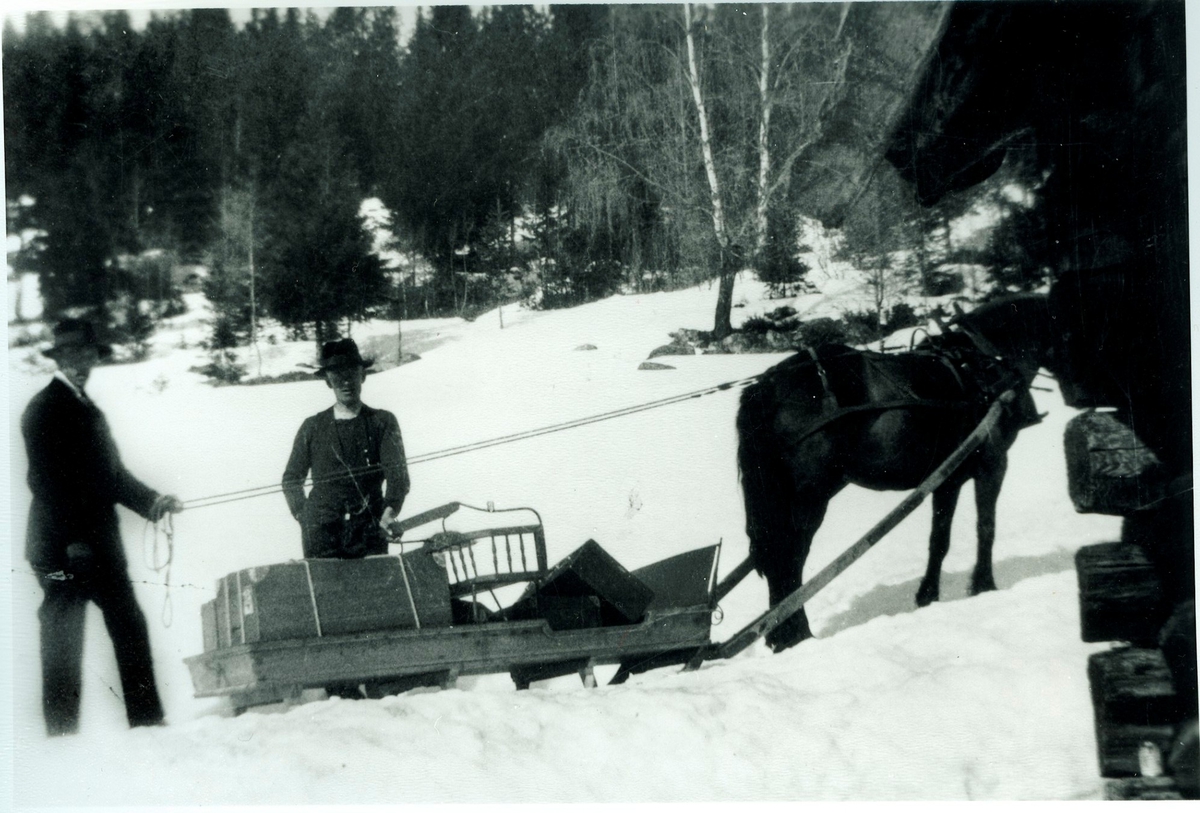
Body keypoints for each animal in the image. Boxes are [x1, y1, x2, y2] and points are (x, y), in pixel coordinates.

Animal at [739, 296, 1060, 652]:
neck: (983, 363)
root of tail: (769, 385)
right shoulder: (993, 464)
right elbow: (986, 528)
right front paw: (984, 586)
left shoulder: (948, 477)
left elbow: (939, 539)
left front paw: (928, 595)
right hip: (810, 495)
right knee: (788, 555)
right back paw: (794, 634)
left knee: (775, 553)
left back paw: (779, 634)